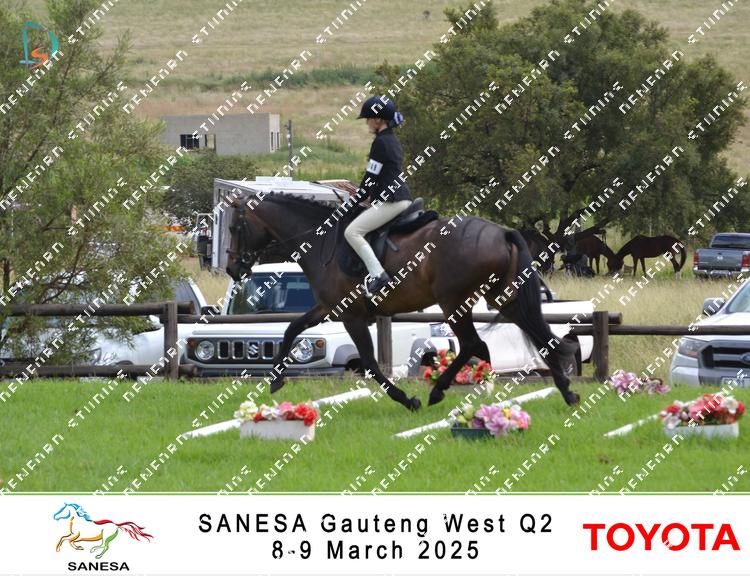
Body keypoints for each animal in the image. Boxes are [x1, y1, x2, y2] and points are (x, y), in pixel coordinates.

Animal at [225, 192, 580, 410]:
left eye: (234, 227)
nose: (231, 268)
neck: (323, 242)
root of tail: (501, 232)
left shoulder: (351, 316)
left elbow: (370, 363)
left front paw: (406, 399)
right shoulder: (329, 308)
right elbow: (292, 328)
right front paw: (276, 380)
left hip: (454, 302)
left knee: (473, 344)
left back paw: (437, 391)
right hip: (503, 297)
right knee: (535, 334)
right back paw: (567, 391)